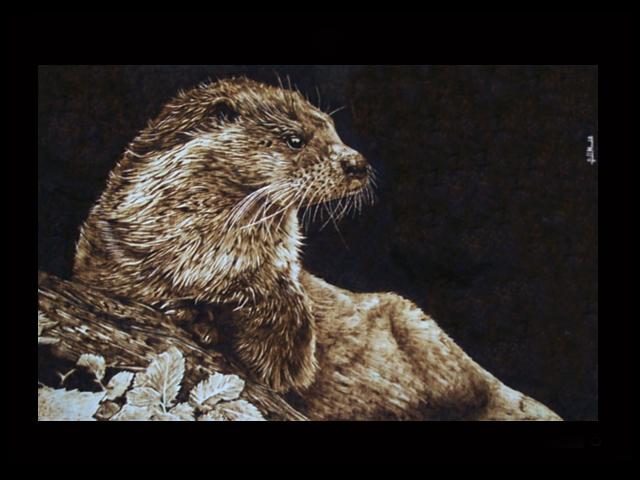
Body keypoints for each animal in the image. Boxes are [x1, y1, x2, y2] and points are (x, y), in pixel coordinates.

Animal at [73, 77, 561, 420]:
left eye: (334, 131)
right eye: (295, 139)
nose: (357, 162)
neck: (203, 261)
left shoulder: (285, 291)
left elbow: (282, 351)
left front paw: (206, 315)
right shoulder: (109, 256)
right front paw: (187, 311)